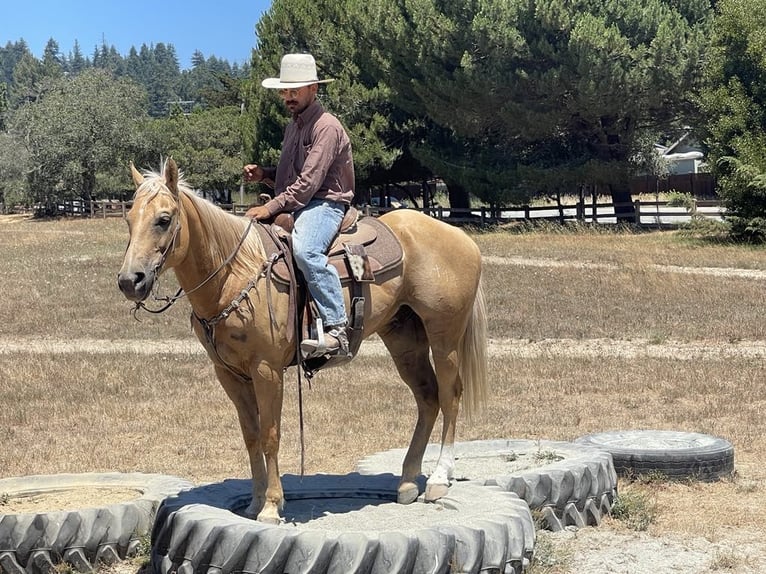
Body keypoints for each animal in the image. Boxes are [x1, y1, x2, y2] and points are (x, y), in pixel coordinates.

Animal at [117, 159, 488, 528]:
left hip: (444, 336)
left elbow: (270, 435)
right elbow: (251, 436)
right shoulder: (229, 374)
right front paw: (254, 502)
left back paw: (438, 479)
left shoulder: (267, 370)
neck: (235, 273)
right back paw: (409, 481)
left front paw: (271, 506)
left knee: (450, 396)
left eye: (164, 219)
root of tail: (460, 237)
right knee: (427, 398)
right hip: (404, 339)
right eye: (129, 218)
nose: (129, 281)